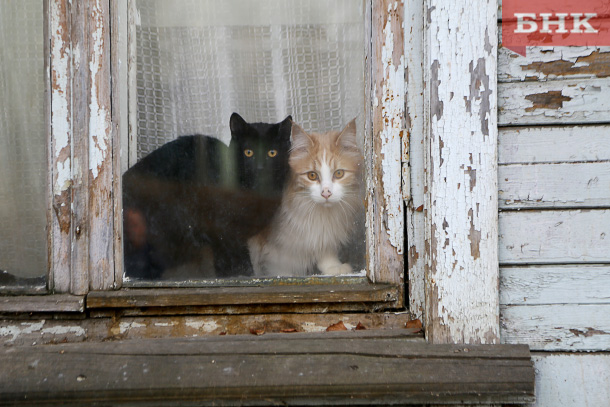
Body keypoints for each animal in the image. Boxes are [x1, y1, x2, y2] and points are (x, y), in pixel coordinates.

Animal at [122, 115, 290, 280]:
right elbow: (237, 259)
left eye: (272, 152)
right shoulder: (223, 229)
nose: (260, 167)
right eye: (248, 152)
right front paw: (242, 276)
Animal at [247, 118, 360, 278]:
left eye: (339, 174)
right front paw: (284, 276)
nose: (326, 193)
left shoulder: (322, 232)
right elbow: (278, 266)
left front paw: (333, 267)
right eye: (312, 175)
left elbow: (324, 248)